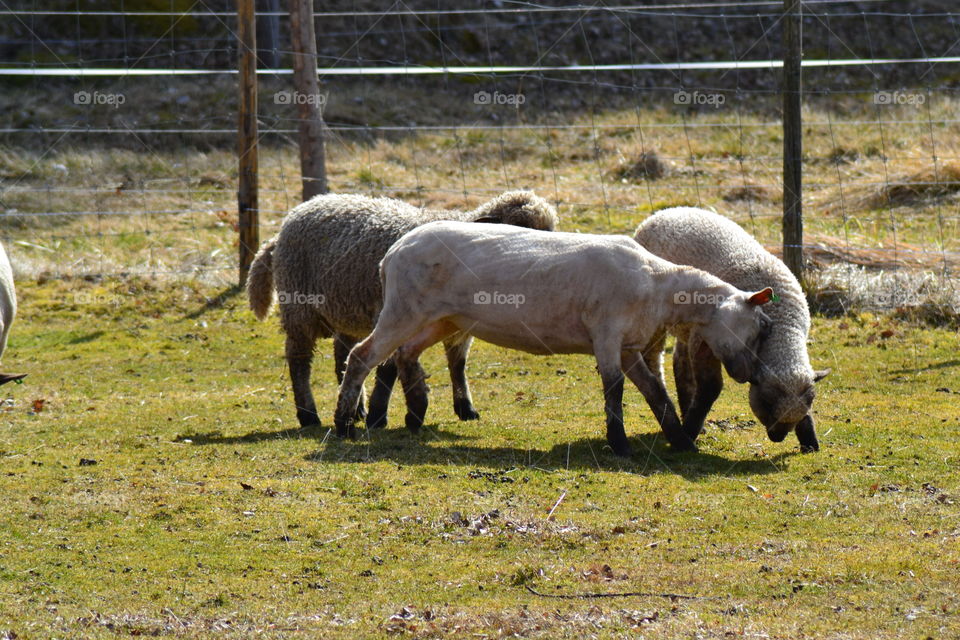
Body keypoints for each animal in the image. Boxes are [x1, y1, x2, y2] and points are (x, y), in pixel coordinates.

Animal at [247, 190, 558, 430]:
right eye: (516, 231)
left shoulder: (460, 324)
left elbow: (457, 364)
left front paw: (465, 408)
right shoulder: (393, 314)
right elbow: (388, 369)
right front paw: (378, 416)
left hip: (347, 310)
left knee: (343, 357)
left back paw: (354, 409)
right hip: (299, 307)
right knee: (300, 360)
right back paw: (309, 415)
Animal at [334, 221, 775, 456]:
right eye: (758, 329)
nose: (748, 374)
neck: (658, 285)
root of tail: (392, 252)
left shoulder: (629, 346)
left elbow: (655, 392)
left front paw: (682, 441)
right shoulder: (606, 334)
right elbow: (614, 389)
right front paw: (620, 445)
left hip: (441, 317)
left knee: (405, 354)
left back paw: (416, 415)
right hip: (405, 308)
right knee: (362, 356)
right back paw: (343, 426)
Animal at [634, 207, 830, 451]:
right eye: (765, 404)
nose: (777, 437)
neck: (781, 325)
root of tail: (663, 212)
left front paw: (810, 441)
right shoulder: (707, 341)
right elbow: (710, 388)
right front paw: (689, 432)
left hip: (686, 327)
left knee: (680, 362)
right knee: (653, 359)